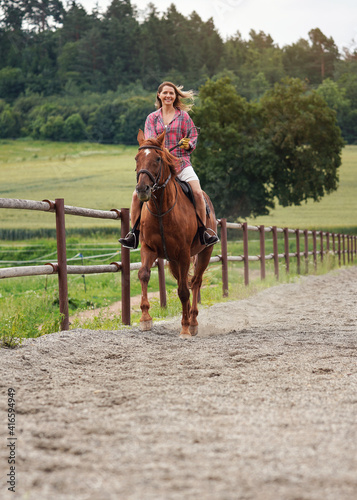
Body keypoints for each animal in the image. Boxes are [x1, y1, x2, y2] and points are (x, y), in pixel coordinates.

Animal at [134, 130, 216, 340]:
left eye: (157, 159)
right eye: (137, 158)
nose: (142, 189)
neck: (162, 211)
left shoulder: (184, 254)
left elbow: (184, 291)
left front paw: (185, 328)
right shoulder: (149, 248)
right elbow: (144, 274)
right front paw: (145, 319)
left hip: (204, 253)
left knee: (195, 283)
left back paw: (192, 322)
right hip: (174, 260)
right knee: (184, 282)